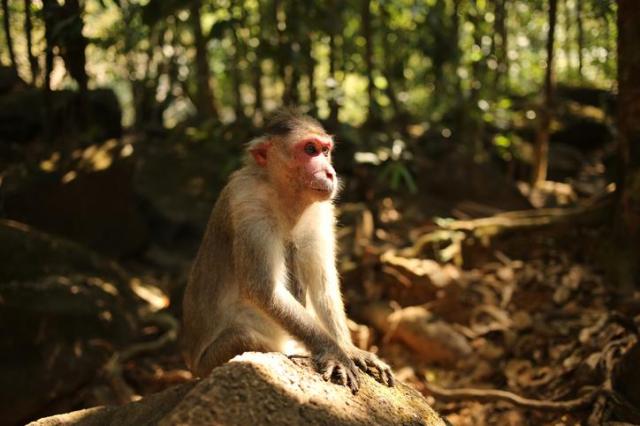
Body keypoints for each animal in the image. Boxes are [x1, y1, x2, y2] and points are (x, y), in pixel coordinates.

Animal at [178, 108, 392, 392]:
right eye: (310, 149)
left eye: (325, 151)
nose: (330, 173)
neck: (284, 196)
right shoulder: (249, 205)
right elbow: (264, 291)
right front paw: (334, 352)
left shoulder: (321, 213)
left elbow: (323, 285)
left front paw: (349, 348)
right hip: (208, 363)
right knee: (246, 338)